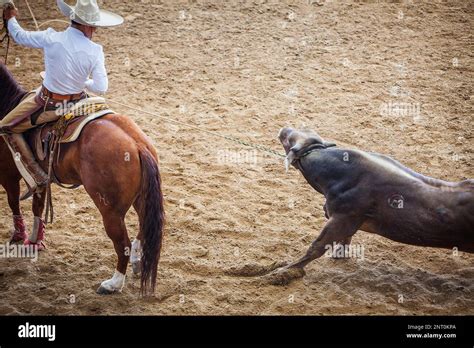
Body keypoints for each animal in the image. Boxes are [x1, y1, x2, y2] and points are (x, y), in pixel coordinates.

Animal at [0, 63, 165, 296]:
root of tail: (137, 145)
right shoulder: (40, 180)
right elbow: (37, 207)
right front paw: (34, 241)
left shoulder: (7, 174)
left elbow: (14, 202)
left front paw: (18, 236)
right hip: (142, 198)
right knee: (143, 227)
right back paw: (136, 262)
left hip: (111, 211)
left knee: (121, 242)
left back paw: (113, 283)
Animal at [266, 128, 474, 286]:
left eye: (290, 140)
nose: (285, 129)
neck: (341, 174)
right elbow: (344, 240)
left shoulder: (342, 218)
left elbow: (316, 247)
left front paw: (283, 272)